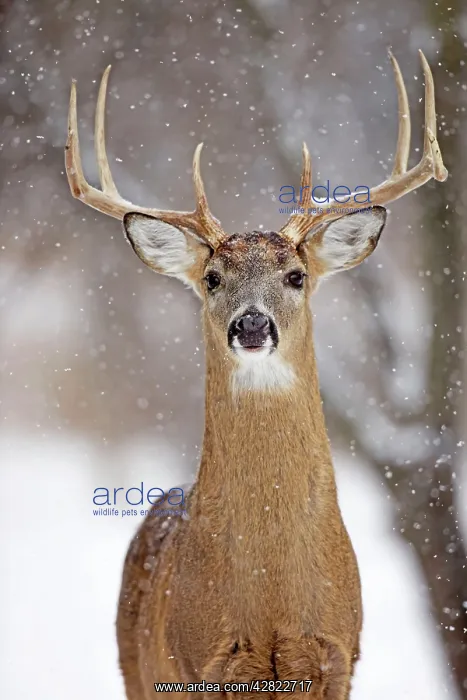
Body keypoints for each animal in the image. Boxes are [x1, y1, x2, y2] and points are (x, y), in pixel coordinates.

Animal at [65, 50, 447, 699]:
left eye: (296, 275)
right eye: (213, 277)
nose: (251, 324)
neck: (272, 597)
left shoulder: (337, 659)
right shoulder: (203, 666)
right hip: (135, 671)